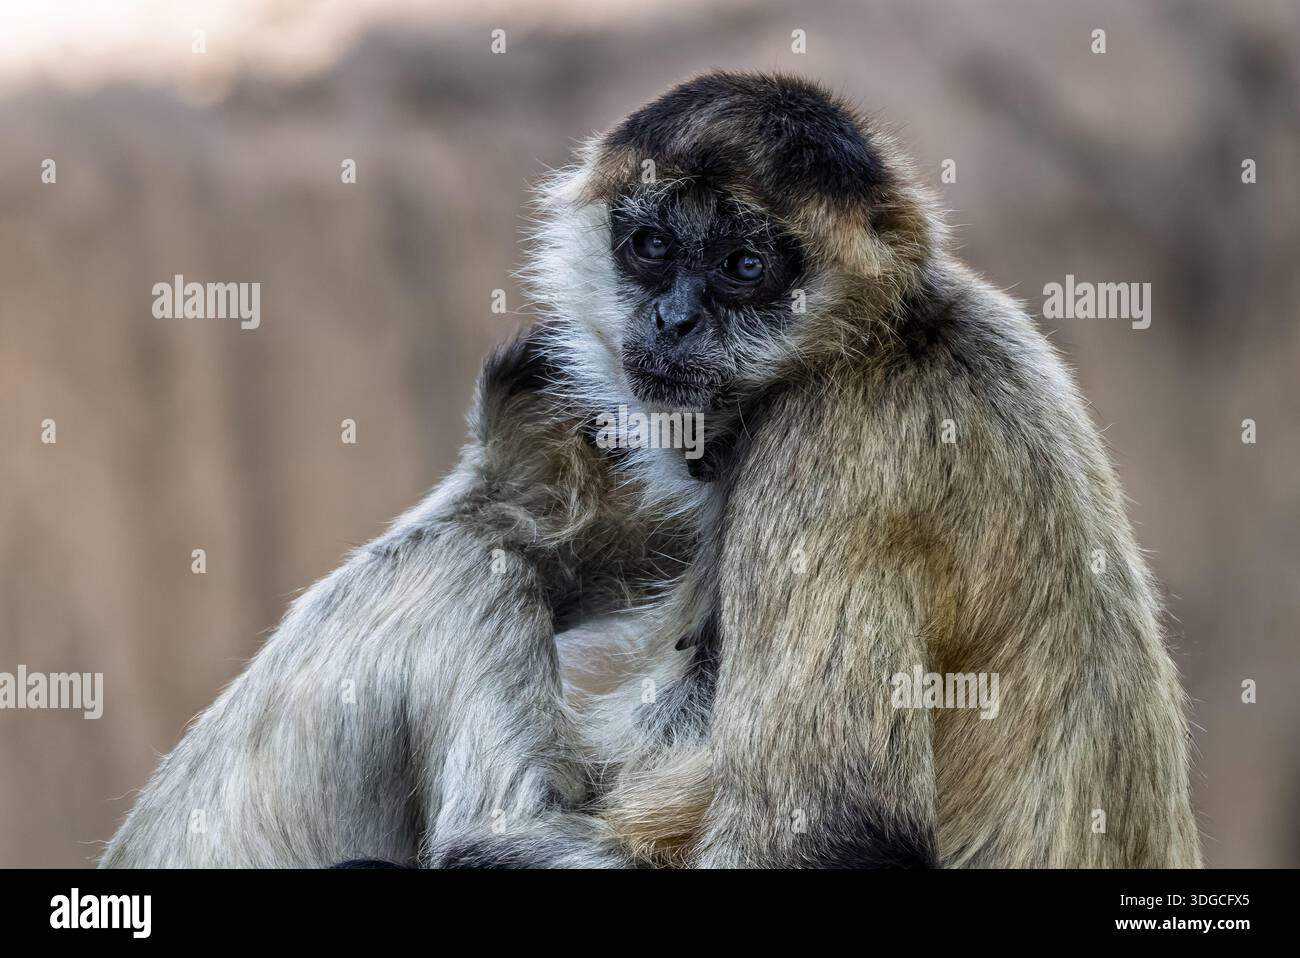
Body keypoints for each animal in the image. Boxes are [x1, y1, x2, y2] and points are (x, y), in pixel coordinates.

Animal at [103, 71, 1200, 869]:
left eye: (746, 267)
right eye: (651, 246)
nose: (672, 317)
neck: (897, 337)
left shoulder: (843, 439)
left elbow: (839, 838)